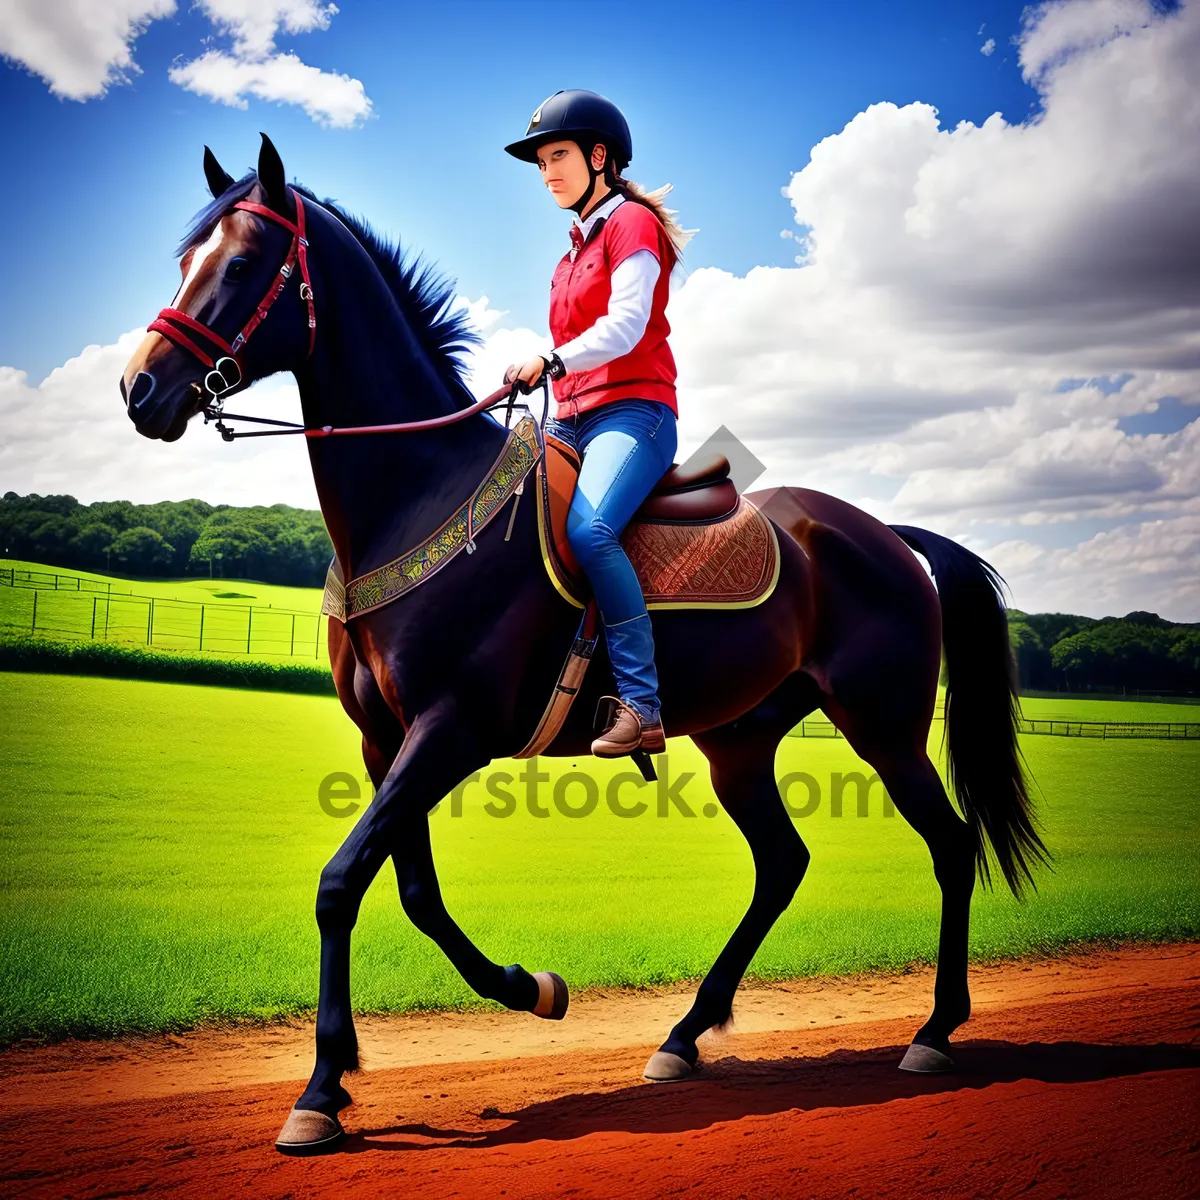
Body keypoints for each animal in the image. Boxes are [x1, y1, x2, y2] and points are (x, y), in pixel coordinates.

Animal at [117, 138, 1046, 1152]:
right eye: (185, 260)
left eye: (244, 263)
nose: (138, 388)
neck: (421, 494)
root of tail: (883, 534)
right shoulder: (385, 742)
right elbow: (412, 894)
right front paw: (529, 990)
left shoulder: (449, 731)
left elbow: (341, 882)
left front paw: (323, 1087)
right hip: (740, 743)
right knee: (782, 865)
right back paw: (683, 1037)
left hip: (883, 726)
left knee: (950, 846)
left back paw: (934, 1031)